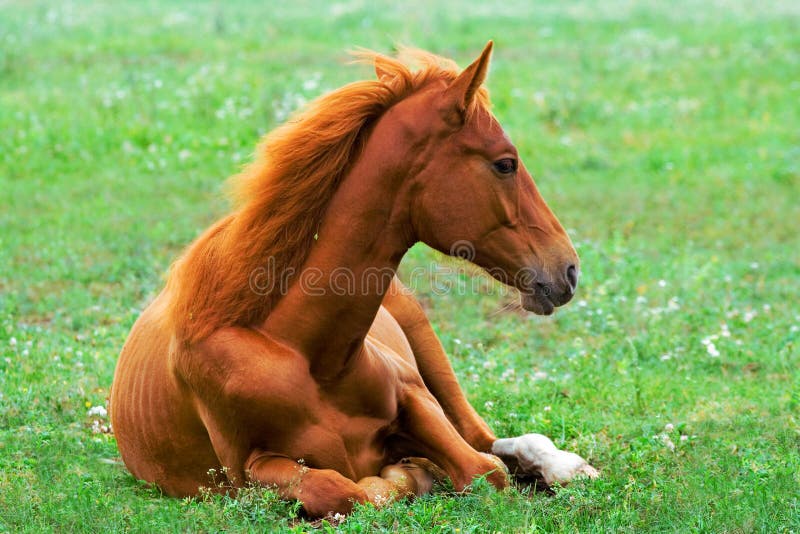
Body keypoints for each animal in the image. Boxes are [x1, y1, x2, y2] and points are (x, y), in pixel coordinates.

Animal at [110, 42, 597, 518]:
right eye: (505, 164)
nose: (569, 268)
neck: (308, 354)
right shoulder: (247, 471)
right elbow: (344, 490)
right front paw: (409, 476)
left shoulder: (415, 398)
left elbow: (484, 470)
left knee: (488, 438)